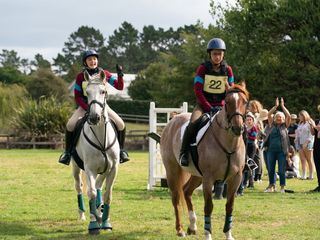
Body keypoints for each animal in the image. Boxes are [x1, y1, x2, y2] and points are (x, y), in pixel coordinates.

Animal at [161, 84, 249, 240]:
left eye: (245, 102)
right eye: (227, 102)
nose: (237, 128)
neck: (228, 144)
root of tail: (173, 120)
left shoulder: (235, 178)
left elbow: (230, 206)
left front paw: (228, 234)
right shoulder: (209, 179)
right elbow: (208, 206)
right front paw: (208, 235)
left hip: (197, 176)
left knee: (186, 191)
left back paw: (192, 226)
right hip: (173, 171)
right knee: (176, 197)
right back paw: (180, 229)